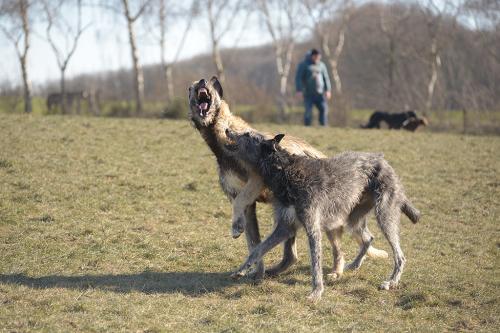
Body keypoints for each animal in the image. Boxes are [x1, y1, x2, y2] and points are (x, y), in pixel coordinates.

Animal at [225, 130, 420, 300]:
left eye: (248, 134)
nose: (227, 130)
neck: (286, 170)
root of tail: (383, 161)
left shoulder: (313, 228)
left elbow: (315, 263)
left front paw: (316, 292)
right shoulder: (285, 226)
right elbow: (258, 249)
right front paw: (241, 270)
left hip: (385, 216)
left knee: (399, 255)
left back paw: (391, 282)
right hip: (352, 217)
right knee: (367, 237)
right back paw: (354, 265)